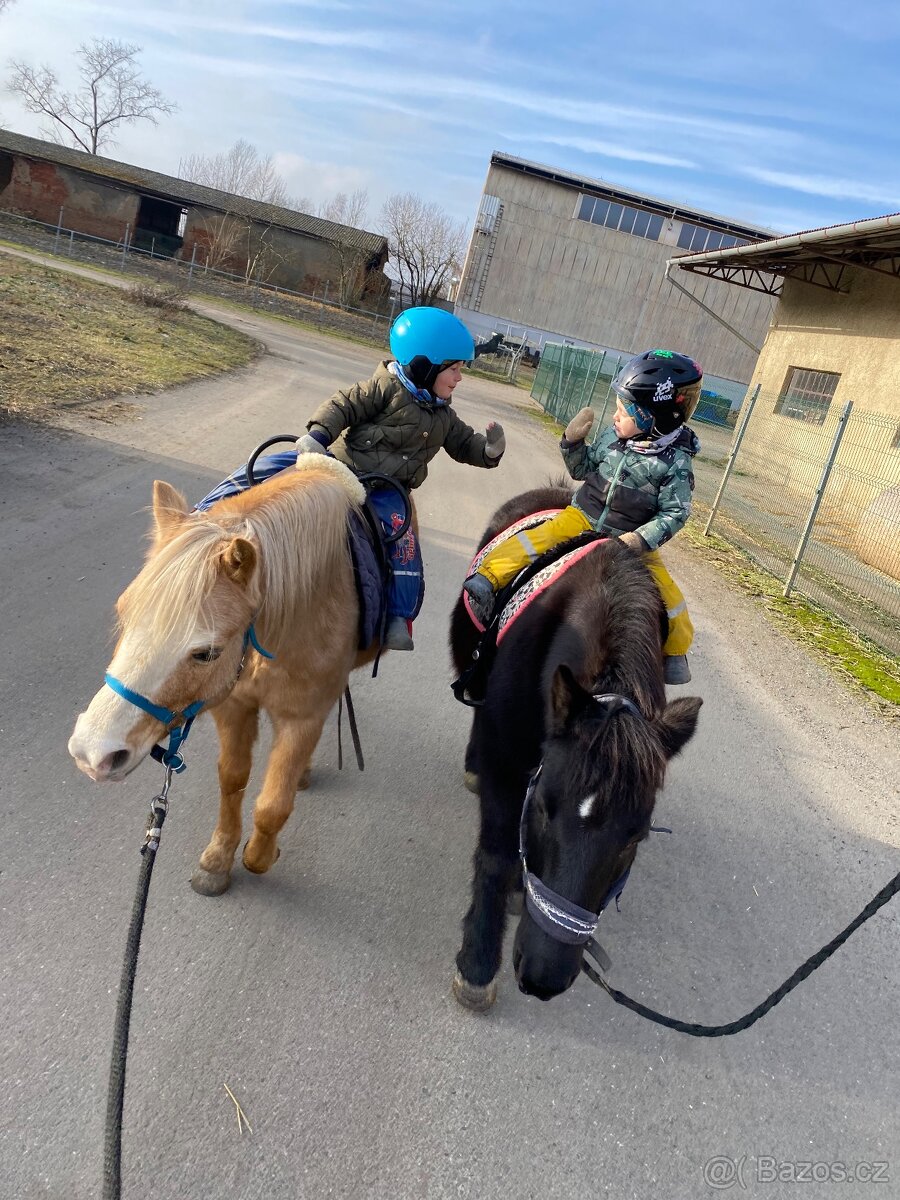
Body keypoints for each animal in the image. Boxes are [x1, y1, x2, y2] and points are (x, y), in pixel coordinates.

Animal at [68, 455, 384, 896]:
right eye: (123, 615)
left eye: (206, 653)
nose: (92, 752)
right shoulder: (233, 704)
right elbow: (232, 779)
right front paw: (218, 858)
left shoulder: (301, 717)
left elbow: (272, 805)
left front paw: (259, 855)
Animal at [449, 485, 703, 1009]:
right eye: (545, 810)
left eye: (636, 836)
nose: (545, 977)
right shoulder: (506, 760)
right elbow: (496, 854)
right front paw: (477, 965)